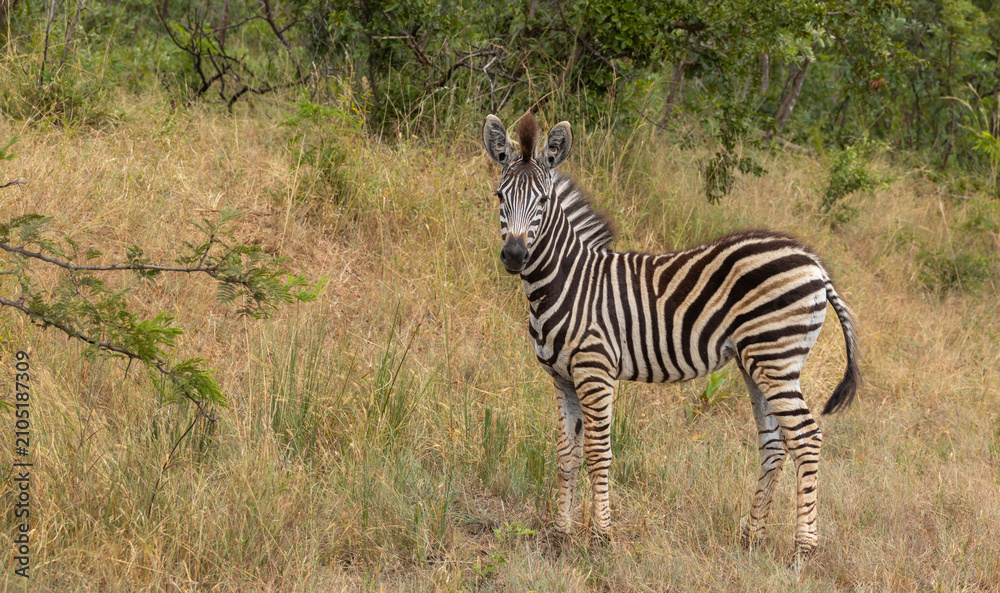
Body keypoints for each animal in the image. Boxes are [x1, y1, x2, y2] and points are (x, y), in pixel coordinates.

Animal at [481, 112, 860, 561]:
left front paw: (601, 537)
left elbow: (597, 453)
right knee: (774, 442)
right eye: (499, 196)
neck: (566, 282)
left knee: (806, 437)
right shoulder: (562, 378)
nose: (514, 256)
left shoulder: (595, 371)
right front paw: (560, 533)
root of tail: (814, 263)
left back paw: (803, 547)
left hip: (776, 357)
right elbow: (565, 455)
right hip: (759, 363)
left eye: (542, 201)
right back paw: (751, 536)